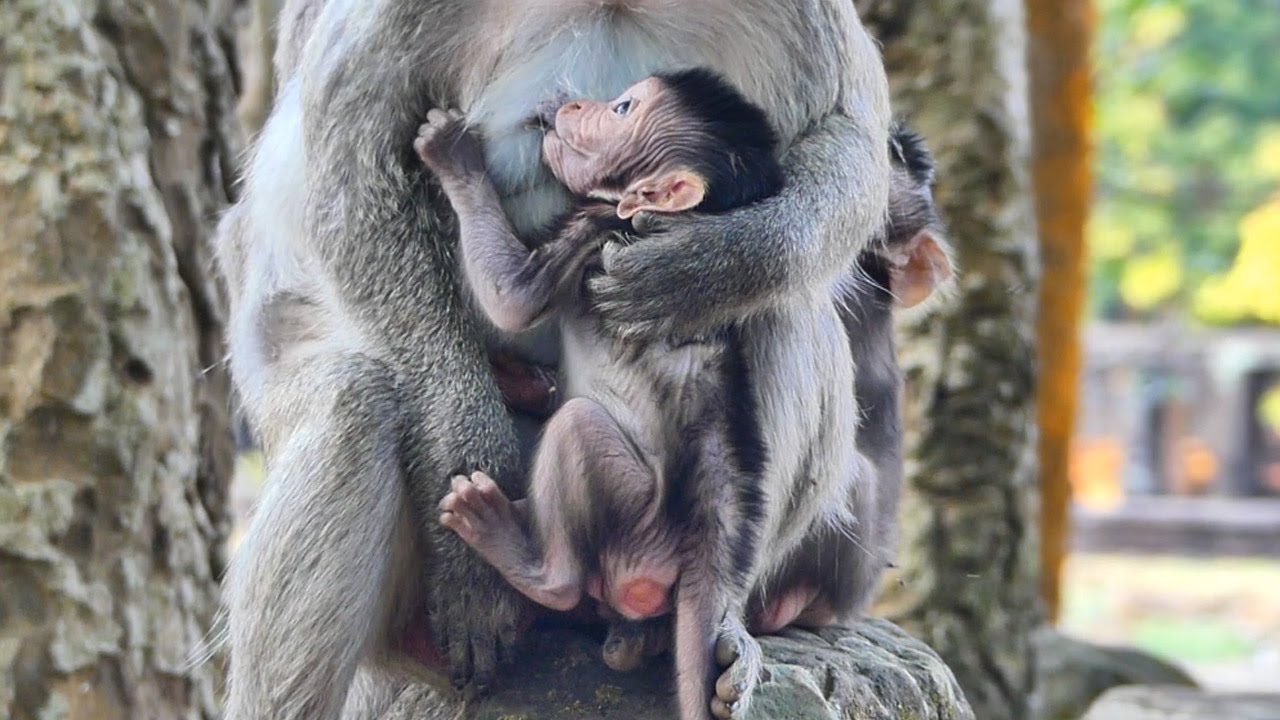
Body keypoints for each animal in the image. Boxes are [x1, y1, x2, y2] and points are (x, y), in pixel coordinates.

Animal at [212, 2, 893, 718]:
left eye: (623, 109)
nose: (570, 109)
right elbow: (353, 179)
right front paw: (466, 482)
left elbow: (842, 132)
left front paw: (705, 266)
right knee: (354, 399)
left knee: (784, 308)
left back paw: (697, 619)